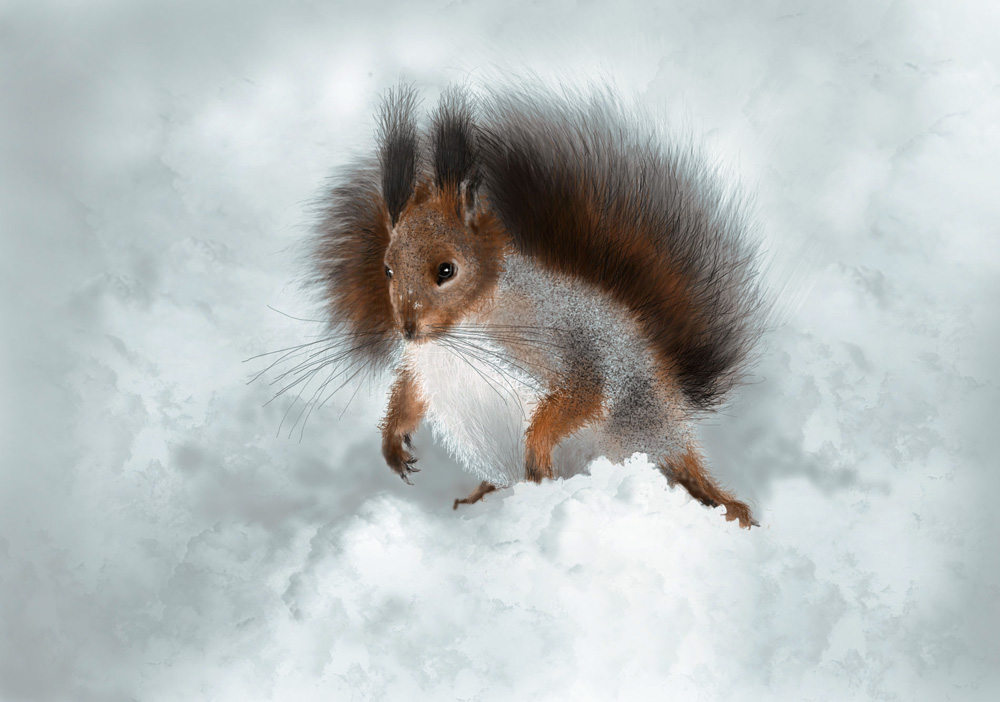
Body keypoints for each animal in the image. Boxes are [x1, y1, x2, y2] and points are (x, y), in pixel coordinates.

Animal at [310, 84, 766, 528]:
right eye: (387, 269)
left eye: (446, 269)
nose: (406, 327)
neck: (454, 334)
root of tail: (673, 404)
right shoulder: (419, 366)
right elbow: (407, 396)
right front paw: (392, 442)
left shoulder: (563, 341)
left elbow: (582, 390)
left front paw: (537, 447)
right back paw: (480, 497)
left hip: (642, 435)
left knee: (683, 470)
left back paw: (726, 506)